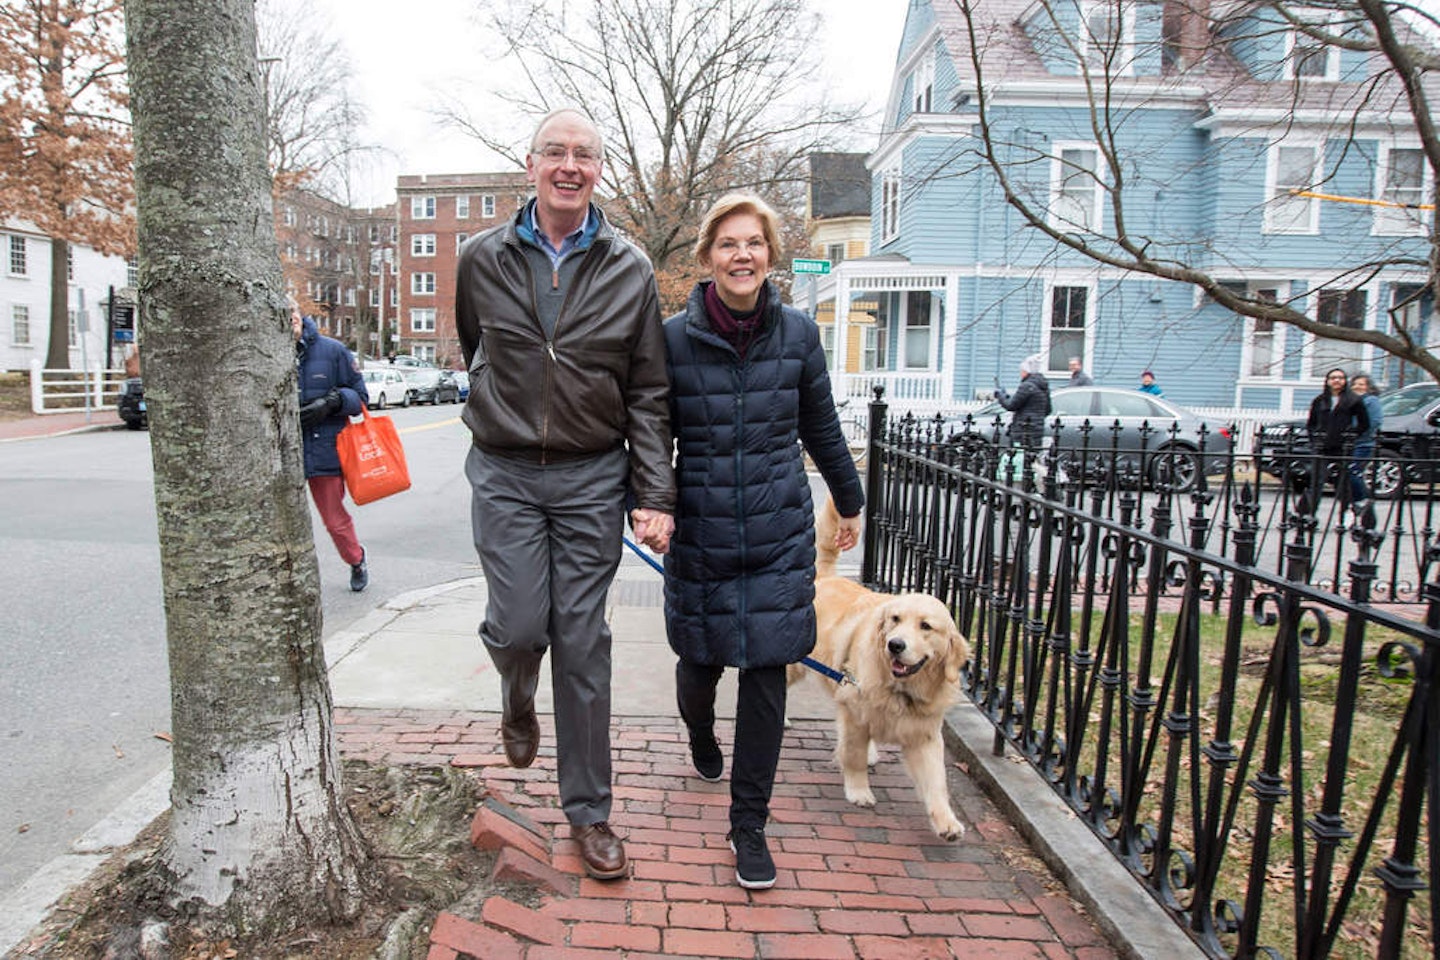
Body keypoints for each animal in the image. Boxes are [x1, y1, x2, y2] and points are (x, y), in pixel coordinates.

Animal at [794, 500, 973, 834]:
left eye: (926, 626)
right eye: (895, 619)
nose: (895, 645)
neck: (900, 689)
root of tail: (824, 578)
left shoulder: (926, 733)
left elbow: (936, 782)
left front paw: (946, 821)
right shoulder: (854, 711)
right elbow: (852, 756)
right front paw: (858, 791)